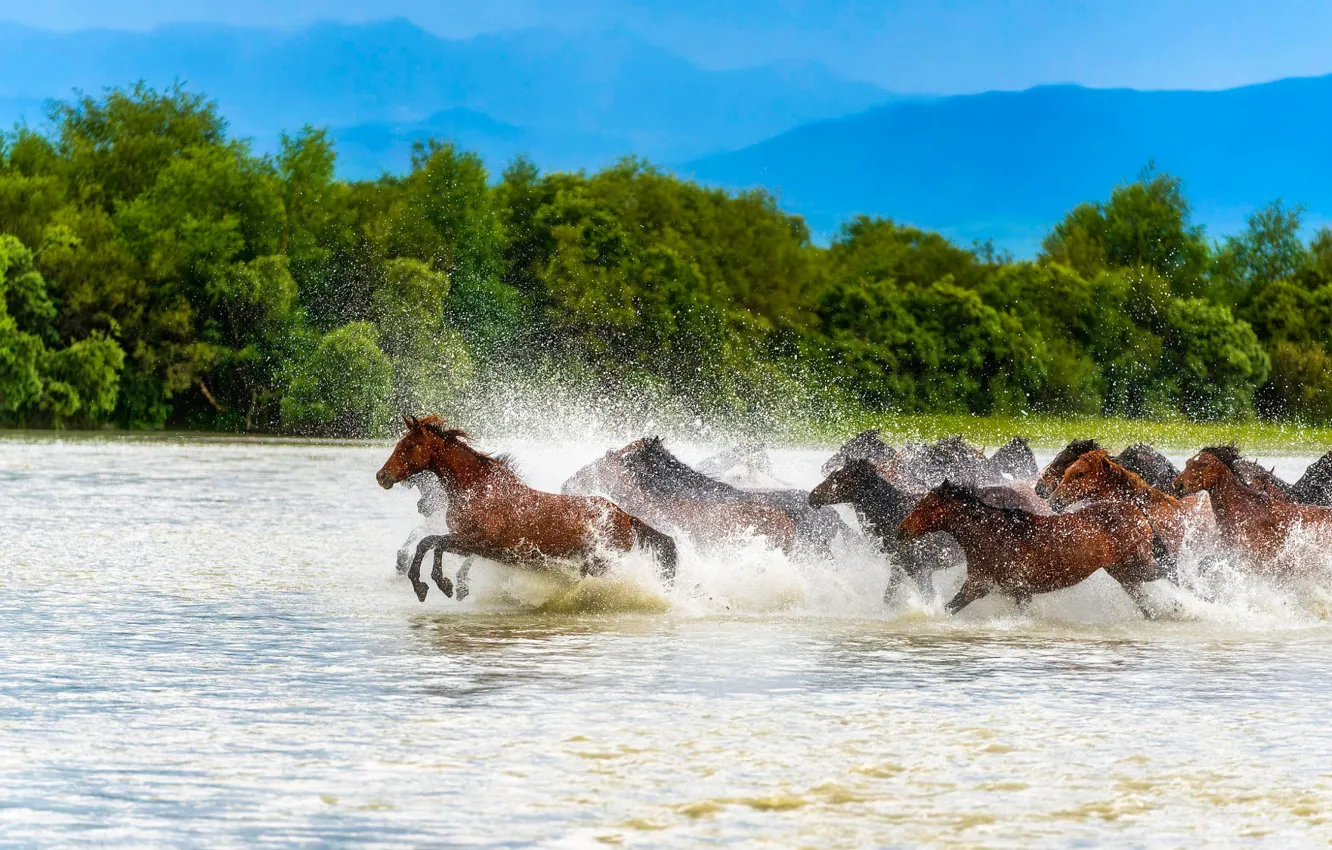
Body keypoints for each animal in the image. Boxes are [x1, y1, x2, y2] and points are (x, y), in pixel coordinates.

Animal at [377, 416, 677, 602]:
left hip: (602, 566)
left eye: (409, 445)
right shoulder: (468, 544)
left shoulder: (478, 542)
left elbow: (431, 543)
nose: (382, 476)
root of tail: (627, 517)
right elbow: (429, 543)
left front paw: (437, 584)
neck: (478, 489)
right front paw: (429, 585)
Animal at [898, 480, 1173, 617]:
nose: (901, 530)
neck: (992, 536)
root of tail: (1137, 511)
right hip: (1123, 573)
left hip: (1138, 565)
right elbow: (949, 607)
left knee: (1170, 573)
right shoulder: (985, 585)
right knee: (1146, 603)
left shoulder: (1011, 588)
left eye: (928, 505)